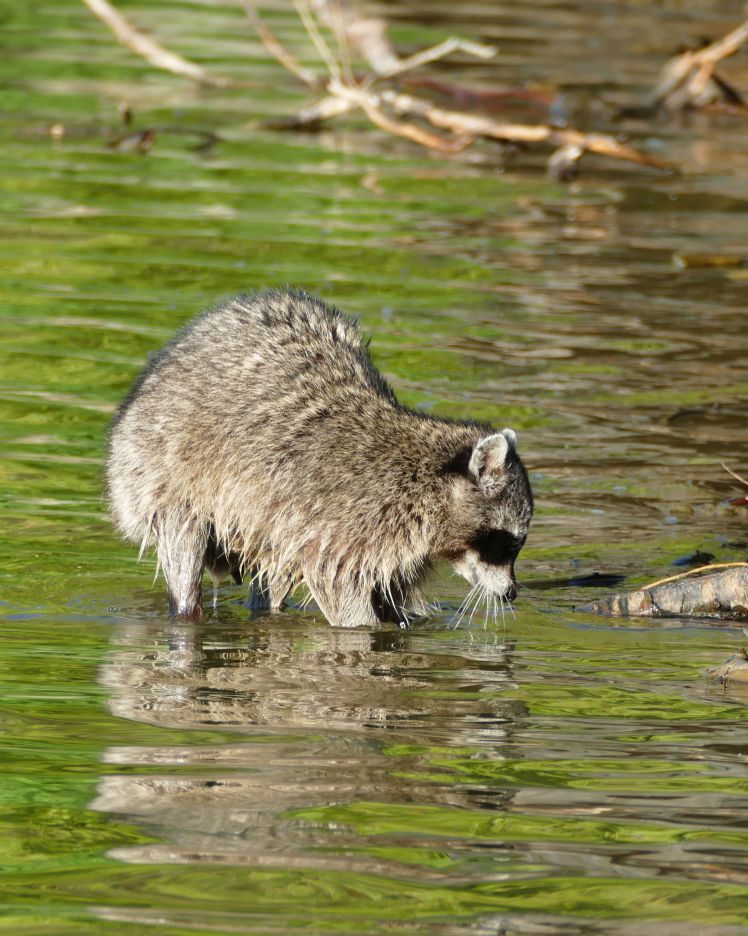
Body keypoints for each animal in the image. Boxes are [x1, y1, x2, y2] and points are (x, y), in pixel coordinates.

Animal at [106, 289, 533, 627]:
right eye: (506, 543)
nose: (512, 594)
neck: (429, 483)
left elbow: (388, 595)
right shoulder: (352, 524)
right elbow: (340, 586)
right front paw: (364, 627)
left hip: (264, 514)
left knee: (270, 569)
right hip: (160, 472)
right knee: (185, 544)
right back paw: (187, 608)